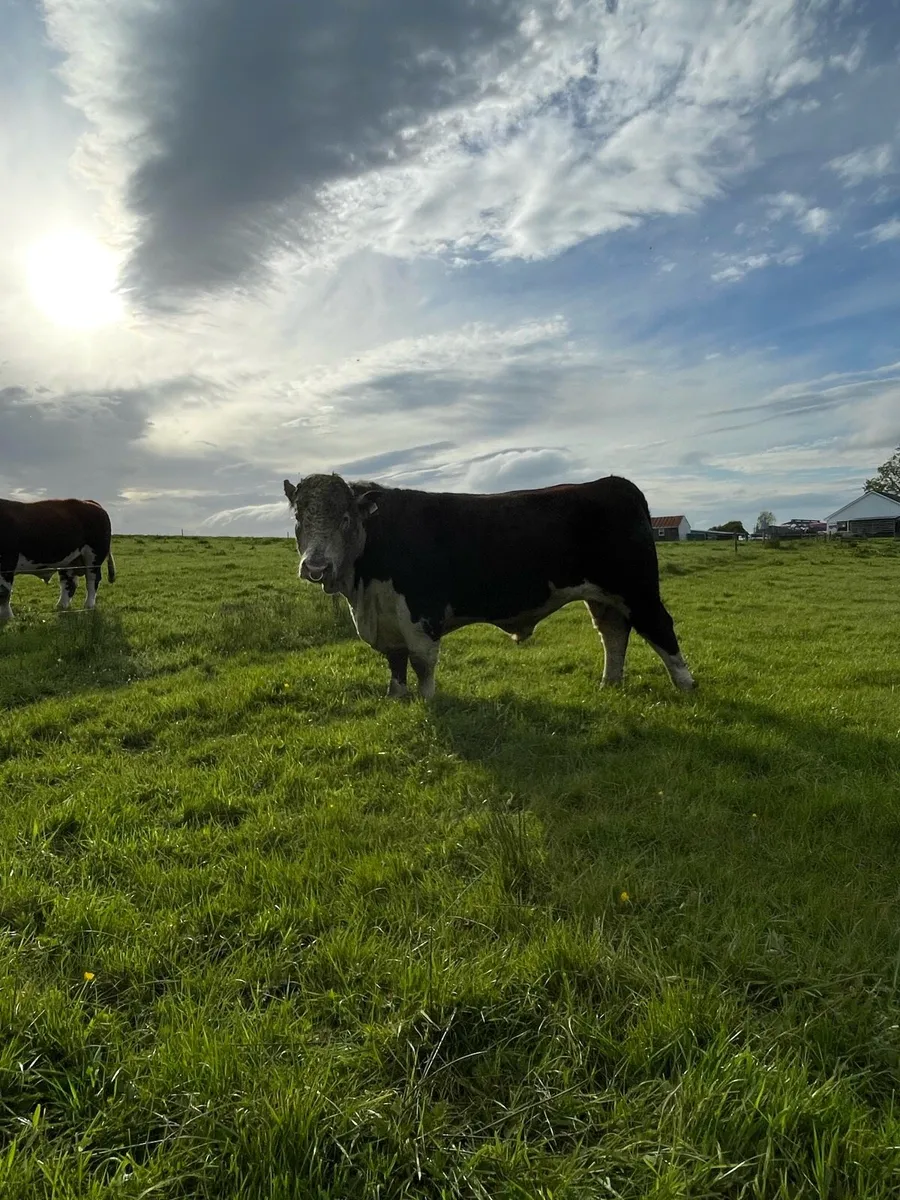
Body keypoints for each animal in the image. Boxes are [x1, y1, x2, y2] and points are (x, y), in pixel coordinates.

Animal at [283, 472, 694, 700]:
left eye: (346, 517)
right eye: (299, 517)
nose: (315, 567)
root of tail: (613, 483)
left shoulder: (422, 613)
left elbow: (422, 663)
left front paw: (427, 701)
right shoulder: (386, 619)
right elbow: (396, 663)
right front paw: (396, 697)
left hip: (638, 589)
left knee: (659, 628)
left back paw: (686, 686)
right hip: (603, 595)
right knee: (613, 633)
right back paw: (609, 683)